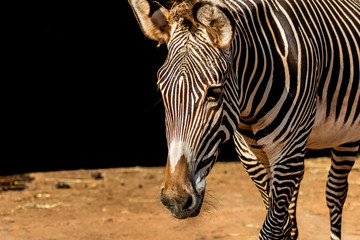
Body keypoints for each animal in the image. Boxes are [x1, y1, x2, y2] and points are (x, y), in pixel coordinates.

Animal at [128, 0, 358, 239]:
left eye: (215, 92)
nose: (176, 200)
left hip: (346, 135)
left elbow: (272, 229)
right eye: (161, 89)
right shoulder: (251, 157)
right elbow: (283, 223)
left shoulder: (287, 152)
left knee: (335, 192)